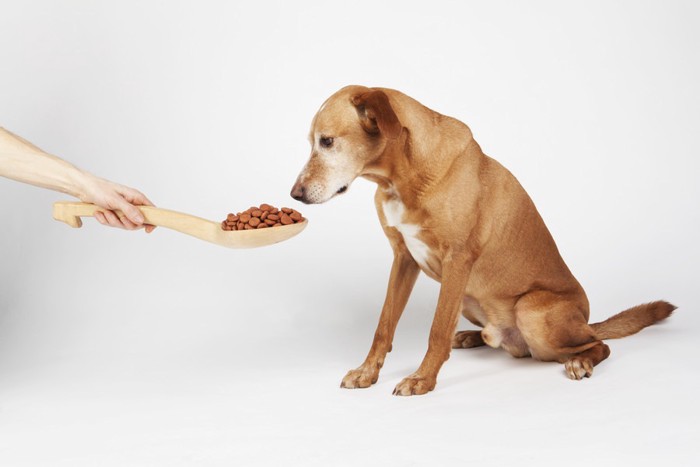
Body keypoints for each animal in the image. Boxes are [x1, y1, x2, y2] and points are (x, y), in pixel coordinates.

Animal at [288, 86, 672, 396]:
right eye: (312, 142)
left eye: (327, 141)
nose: (295, 195)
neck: (403, 178)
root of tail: (585, 319)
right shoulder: (403, 258)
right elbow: (384, 325)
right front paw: (367, 372)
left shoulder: (457, 261)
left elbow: (437, 330)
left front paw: (422, 379)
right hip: (471, 301)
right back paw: (473, 337)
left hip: (532, 311)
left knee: (598, 344)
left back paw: (581, 361)